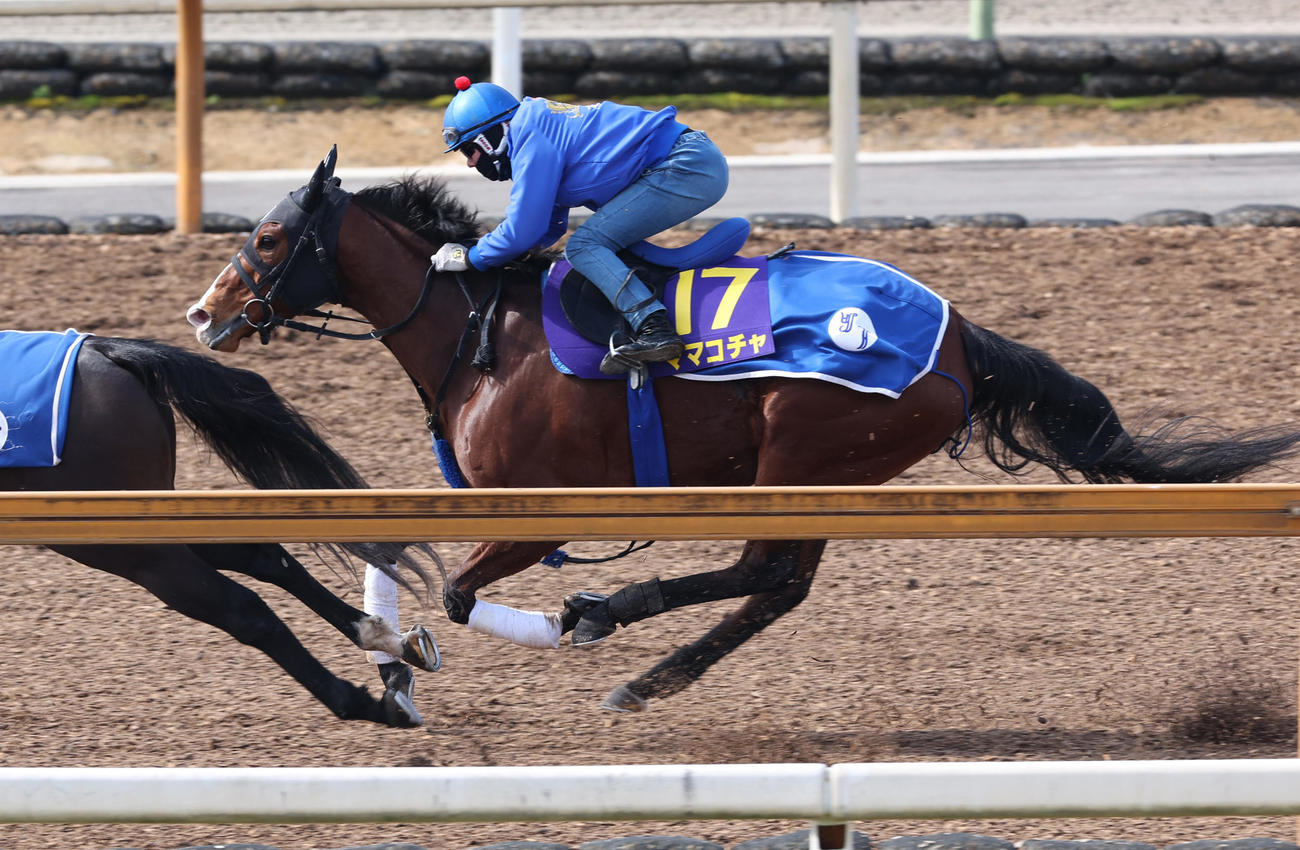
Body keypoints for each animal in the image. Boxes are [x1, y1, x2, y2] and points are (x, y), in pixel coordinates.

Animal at [1, 331, 441, 727]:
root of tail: (99, 347)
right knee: (266, 560)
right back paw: (390, 643)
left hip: (127, 548)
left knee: (242, 608)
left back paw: (370, 704)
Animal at [184, 147, 1300, 713]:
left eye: (271, 237)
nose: (203, 312)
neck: (482, 331)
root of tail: (958, 341)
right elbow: (399, 554)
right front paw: (389, 654)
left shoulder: (540, 513)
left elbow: (457, 596)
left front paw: (518, 627)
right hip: (821, 473)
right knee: (778, 582)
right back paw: (642, 657)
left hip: (803, 454)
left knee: (768, 572)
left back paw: (619, 626)